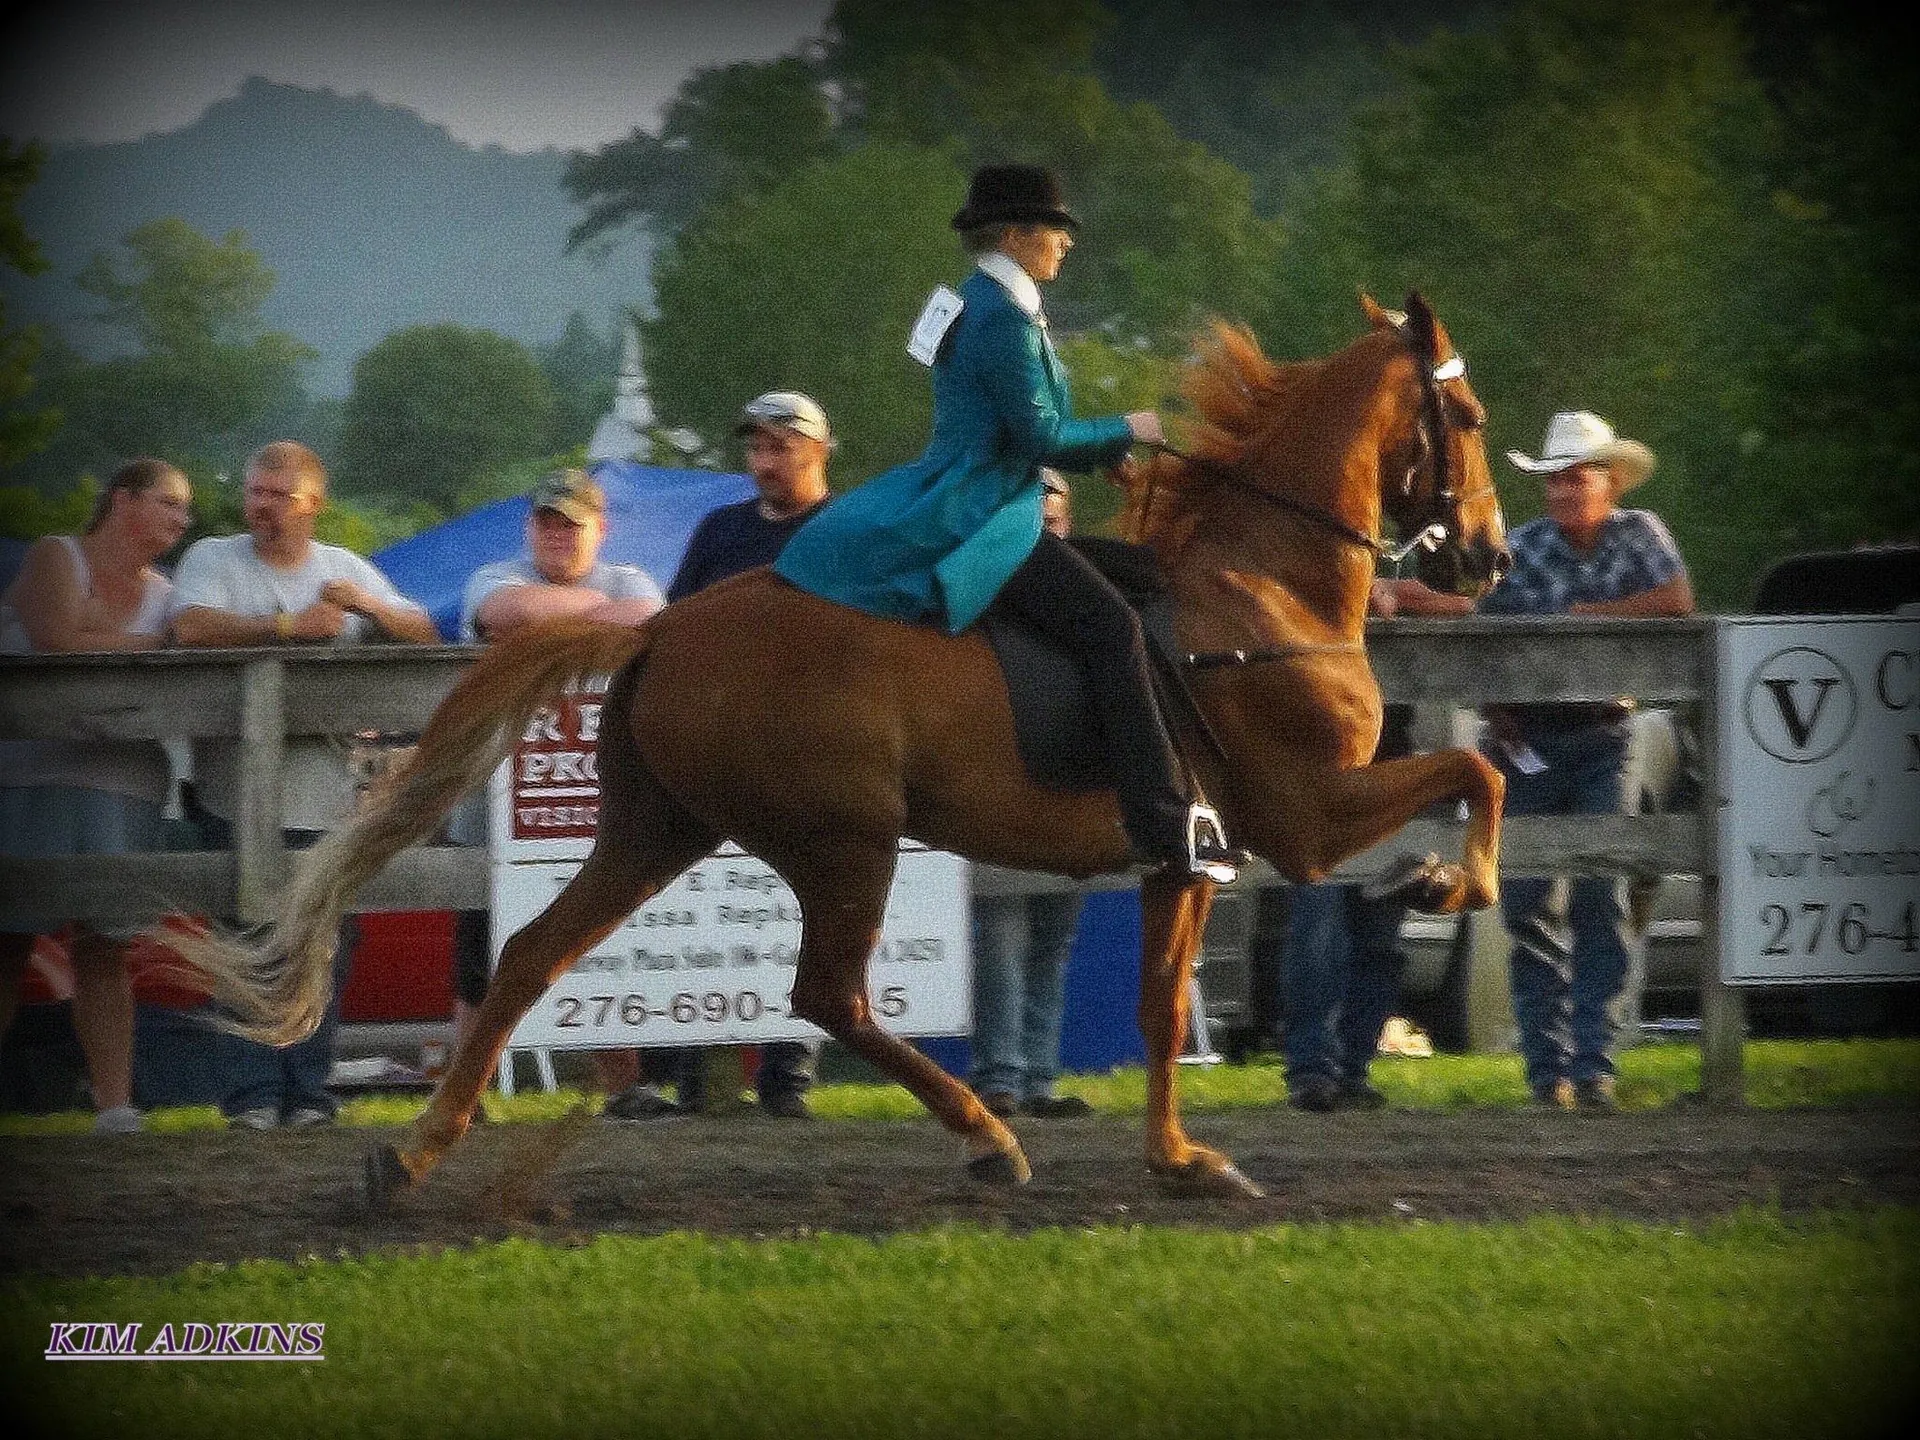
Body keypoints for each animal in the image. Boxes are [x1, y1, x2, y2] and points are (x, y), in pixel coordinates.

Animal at [166, 290, 1508, 1205]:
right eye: (1470, 414)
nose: (1489, 559)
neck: (1260, 590)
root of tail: (663, 624)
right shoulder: (1305, 814)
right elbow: (1474, 771)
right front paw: (1446, 880)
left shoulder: (1192, 858)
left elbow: (1160, 1008)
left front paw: (1180, 1159)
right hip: (844, 839)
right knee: (828, 994)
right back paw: (988, 1137)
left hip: (658, 830)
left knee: (534, 957)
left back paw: (412, 1155)